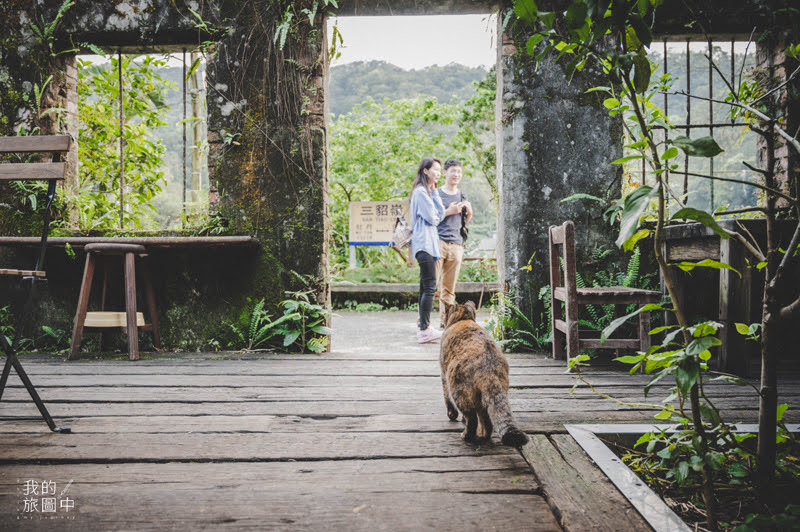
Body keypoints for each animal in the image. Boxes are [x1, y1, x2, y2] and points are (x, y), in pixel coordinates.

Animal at [438, 302, 532, 446]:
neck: (463, 319)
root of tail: (489, 369)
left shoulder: (443, 373)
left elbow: (446, 398)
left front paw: (452, 415)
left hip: (459, 391)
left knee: (472, 419)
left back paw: (466, 436)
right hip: (485, 398)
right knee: (487, 423)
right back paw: (483, 436)